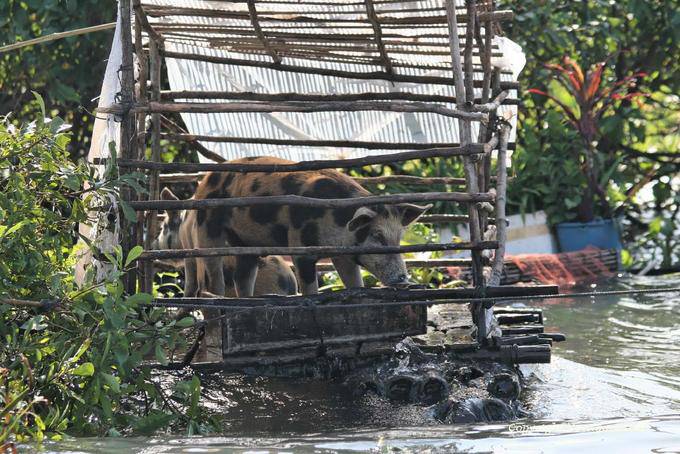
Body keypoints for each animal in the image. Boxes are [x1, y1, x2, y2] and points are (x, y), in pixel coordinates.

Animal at [184, 156, 431, 297]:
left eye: (398, 237)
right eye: (377, 236)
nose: (403, 279)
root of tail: (204, 180)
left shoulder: (344, 256)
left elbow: (354, 282)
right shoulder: (301, 245)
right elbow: (310, 288)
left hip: (247, 242)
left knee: (242, 278)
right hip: (208, 227)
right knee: (212, 275)